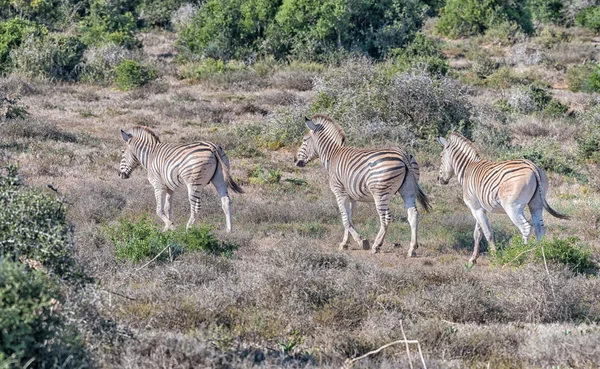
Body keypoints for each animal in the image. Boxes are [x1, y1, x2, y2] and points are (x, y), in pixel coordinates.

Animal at [292, 115, 428, 256]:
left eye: (304, 140)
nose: (295, 160)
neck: (333, 155)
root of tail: (402, 153)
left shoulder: (339, 192)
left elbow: (345, 220)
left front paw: (361, 241)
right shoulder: (351, 197)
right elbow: (350, 218)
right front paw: (345, 243)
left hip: (380, 193)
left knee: (386, 218)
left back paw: (376, 246)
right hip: (408, 190)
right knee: (413, 215)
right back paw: (412, 249)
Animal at [436, 131, 568, 264]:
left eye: (441, 156)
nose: (439, 179)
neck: (467, 169)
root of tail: (532, 166)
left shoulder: (475, 208)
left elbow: (488, 233)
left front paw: (495, 257)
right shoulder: (480, 208)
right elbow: (477, 233)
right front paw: (473, 259)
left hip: (512, 207)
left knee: (526, 228)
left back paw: (520, 255)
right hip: (536, 204)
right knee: (539, 229)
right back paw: (539, 252)